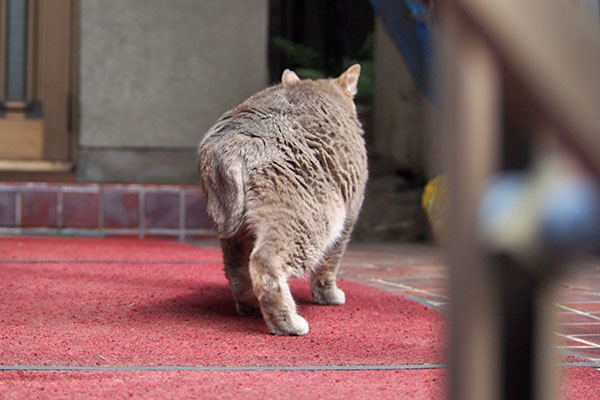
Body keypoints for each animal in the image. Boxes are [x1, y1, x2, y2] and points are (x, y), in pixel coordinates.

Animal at [198, 65, 366, 334]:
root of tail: (234, 140)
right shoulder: (349, 217)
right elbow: (329, 265)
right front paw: (329, 296)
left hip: (236, 233)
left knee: (237, 271)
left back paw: (250, 307)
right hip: (313, 221)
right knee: (264, 264)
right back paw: (288, 324)